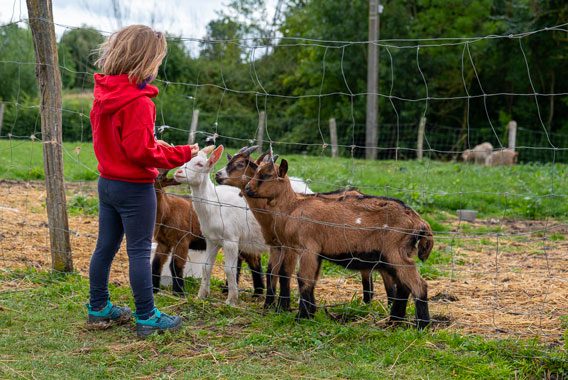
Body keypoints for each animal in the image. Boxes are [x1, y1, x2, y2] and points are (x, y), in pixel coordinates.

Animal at [173, 145, 268, 306]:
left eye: (200, 164)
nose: (178, 173)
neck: (214, 205)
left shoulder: (231, 240)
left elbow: (230, 269)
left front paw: (232, 300)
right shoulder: (211, 240)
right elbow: (206, 266)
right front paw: (201, 295)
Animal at [215, 147, 398, 310]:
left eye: (240, 164)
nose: (218, 175)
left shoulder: (290, 247)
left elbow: (284, 273)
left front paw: (282, 307)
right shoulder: (275, 244)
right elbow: (271, 272)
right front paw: (269, 305)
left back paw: (386, 305)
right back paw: (369, 303)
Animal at [244, 159, 434, 328]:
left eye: (267, 175)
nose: (247, 189)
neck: (293, 207)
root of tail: (418, 221)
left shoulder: (308, 248)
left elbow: (303, 279)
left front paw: (301, 317)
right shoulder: (315, 253)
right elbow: (311, 280)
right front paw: (310, 313)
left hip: (395, 252)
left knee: (418, 284)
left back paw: (422, 326)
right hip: (398, 254)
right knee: (403, 286)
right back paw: (394, 322)